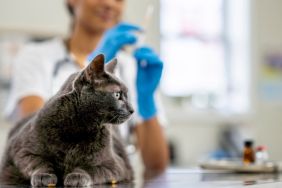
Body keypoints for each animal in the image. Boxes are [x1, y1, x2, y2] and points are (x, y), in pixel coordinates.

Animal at [0, 54, 134, 187]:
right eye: (117, 95)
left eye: (127, 95)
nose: (132, 110)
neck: (79, 127)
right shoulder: (21, 151)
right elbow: (38, 162)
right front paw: (44, 175)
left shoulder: (115, 165)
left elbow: (89, 168)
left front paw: (77, 176)